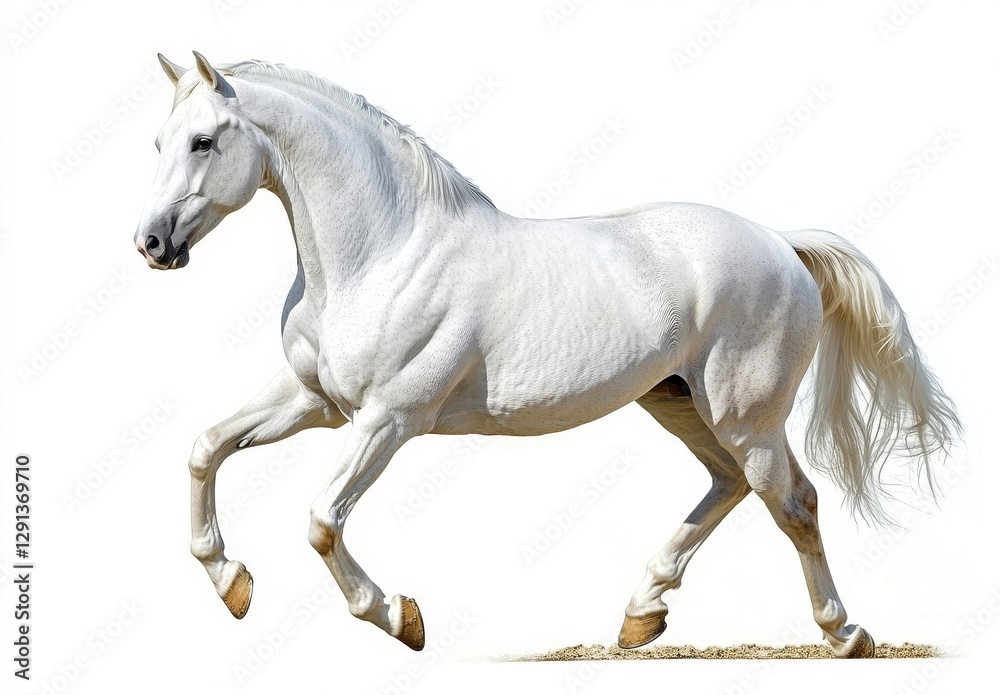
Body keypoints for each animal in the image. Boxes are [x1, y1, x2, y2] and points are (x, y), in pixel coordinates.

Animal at [133, 52, 960, 658]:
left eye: (204, 140)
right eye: (159, 142)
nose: (151, 244)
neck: (383, 253)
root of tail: (782, 245)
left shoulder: (388, 419)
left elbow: (321, 521)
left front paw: (401, 617)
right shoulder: (317, 402)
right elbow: (206, 448)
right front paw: (232, 582)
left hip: (747, 416)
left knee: (794, 502)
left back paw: (845, 633)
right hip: (678, 402)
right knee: (728, 487)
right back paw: (640, 615)